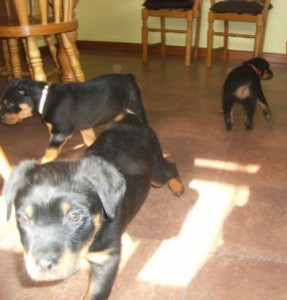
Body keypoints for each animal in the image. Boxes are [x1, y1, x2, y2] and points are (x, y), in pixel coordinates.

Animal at [0, 73, 148, 163]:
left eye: (10, 104)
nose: (1, 119)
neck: (44, 99)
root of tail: (129, 77)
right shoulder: (85, 127)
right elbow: (90, 140)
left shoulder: (60, 133)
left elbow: (49, 152)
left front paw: (42, 162)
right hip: (119, 111)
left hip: (135, 106)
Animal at [3, 113, 184, 300]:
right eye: (24, 219)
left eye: (74, 216)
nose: (44, 265)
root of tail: (130, 119)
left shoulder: (107, 258)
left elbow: (95, 293)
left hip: (155, 173)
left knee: (170, 168)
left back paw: (177, 187)